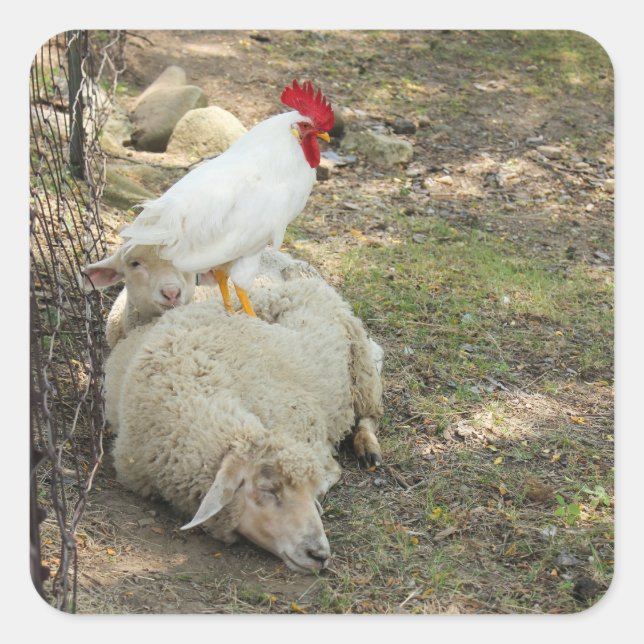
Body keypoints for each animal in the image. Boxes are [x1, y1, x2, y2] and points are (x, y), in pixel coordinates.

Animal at [106, 276, 383, 573]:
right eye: (268, 489)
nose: (319, 554)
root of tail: (306, 283)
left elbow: (332, 470)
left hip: (362, 371)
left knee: (369, 415)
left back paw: (368, 447)